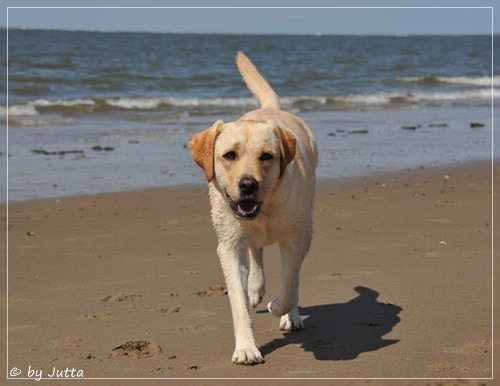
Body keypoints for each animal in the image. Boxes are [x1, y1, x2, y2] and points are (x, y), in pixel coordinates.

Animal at [188, 52, 316, 364]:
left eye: (266, 156)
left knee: (292, 276)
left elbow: (289, 285)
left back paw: (290, 315)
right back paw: (256, 289)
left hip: (306, 227)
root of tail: (270, 109)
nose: (247, 184)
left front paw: (279, 308)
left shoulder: (294, 238)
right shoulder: (228, 246)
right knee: (256, 250)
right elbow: (237, 300)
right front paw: (246, 347)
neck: (264, 209)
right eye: (229, 155)